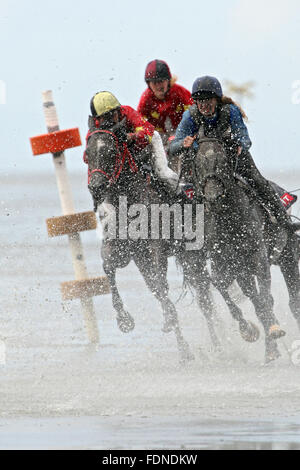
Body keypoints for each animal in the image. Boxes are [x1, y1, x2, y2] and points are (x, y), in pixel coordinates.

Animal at [189, 136, 288, 364]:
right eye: (198, 164)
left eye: (223, 161)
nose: (213, 197)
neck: (230, 220)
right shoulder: (224, 262)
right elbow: (222, 286)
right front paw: (248, 330)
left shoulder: (258, 256)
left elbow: (264, 297)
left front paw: (273, 330)